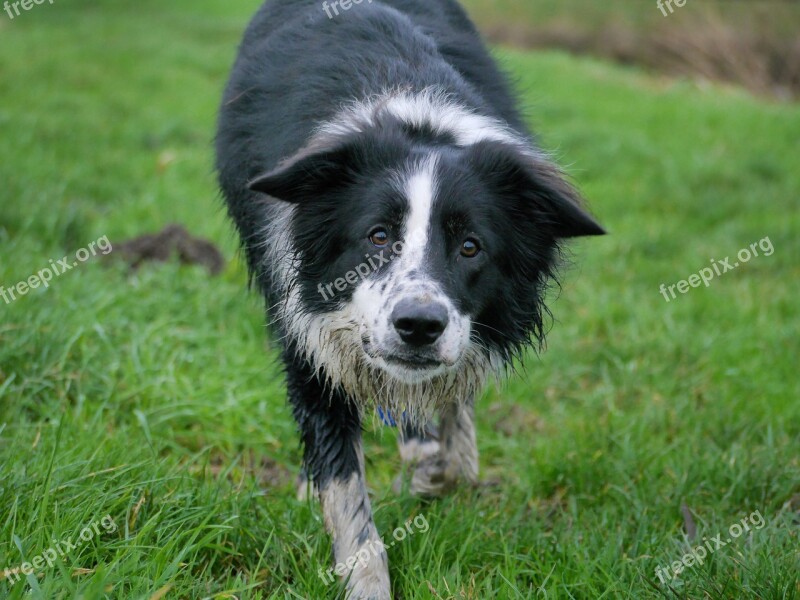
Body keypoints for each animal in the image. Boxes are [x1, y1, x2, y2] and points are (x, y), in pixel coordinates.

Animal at [216, 0, 604, 596]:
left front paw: (436, 470)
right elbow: (342, 478)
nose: (418, 326)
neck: (416, 122)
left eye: (470, 247)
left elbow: (454, 440)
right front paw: (367, 578)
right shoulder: (303, 315)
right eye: (377, 236)